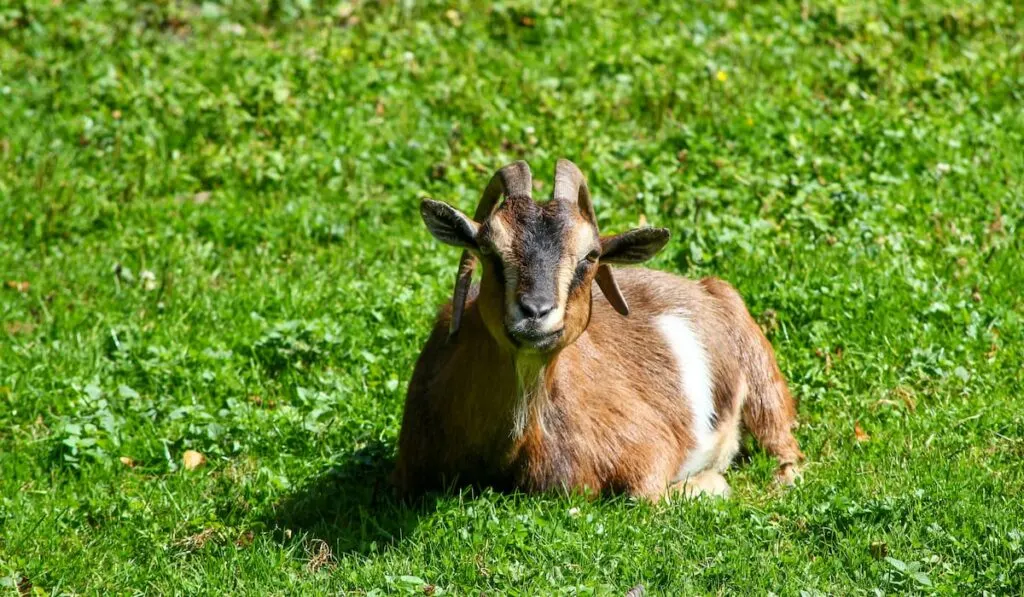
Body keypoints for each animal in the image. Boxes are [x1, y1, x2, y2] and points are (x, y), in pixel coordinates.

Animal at [395, 158, 802, 499]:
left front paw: (712, 483)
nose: (536, 312)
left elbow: (649, 496)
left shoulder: (650, 450)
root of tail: (706, 288)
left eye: (589, 256)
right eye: (489, 250)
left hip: (763, 386)